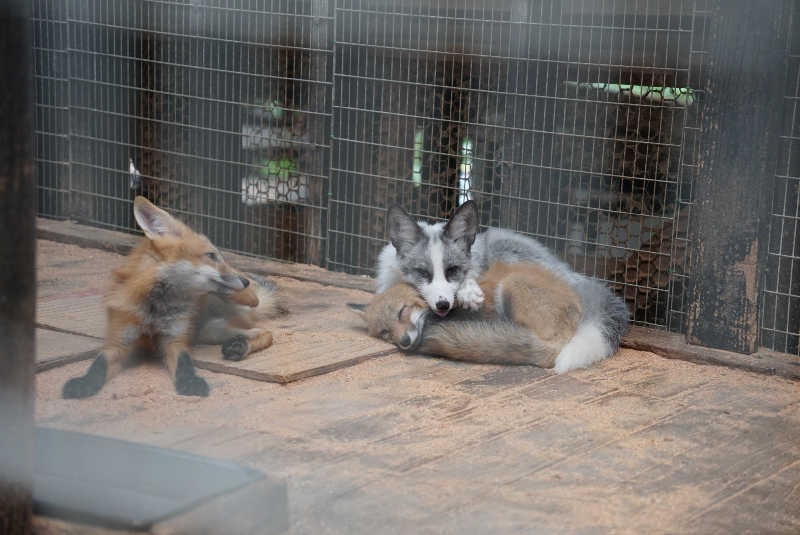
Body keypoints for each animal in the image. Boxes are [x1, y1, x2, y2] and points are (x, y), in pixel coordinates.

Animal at [62, 197, 282, 398]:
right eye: (211, 255)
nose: (245, 282)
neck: (155, 309)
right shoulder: (119, 340)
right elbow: (98, 364)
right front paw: (84, 383)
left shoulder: (174, 339)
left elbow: (184, 363)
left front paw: (191, 383)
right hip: (211, 331)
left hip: (225, 314)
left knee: (265, 333)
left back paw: (240, 346)